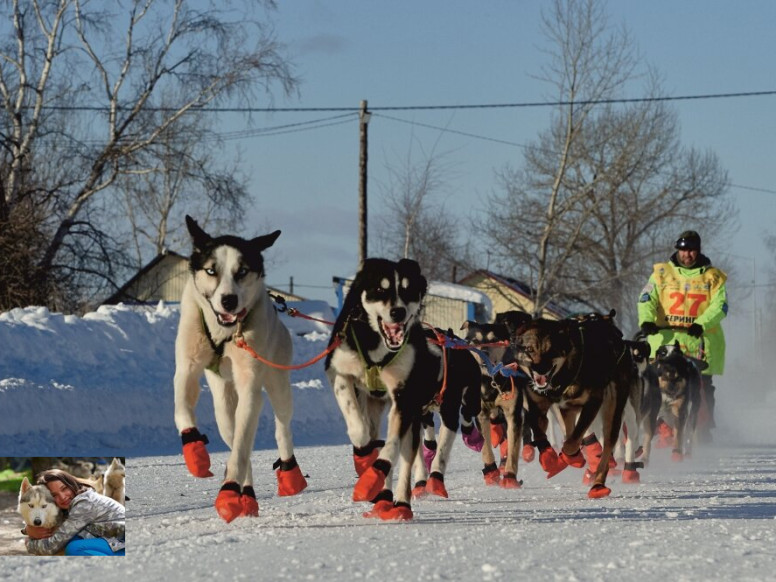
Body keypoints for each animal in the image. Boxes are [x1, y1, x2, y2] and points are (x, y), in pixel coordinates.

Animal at [174, 216, 308, 524]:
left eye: (242, 271)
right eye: (211, 270)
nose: (228, 300)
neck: (225, 333)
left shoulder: (250, 386)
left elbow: (242, 448)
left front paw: (228, 492)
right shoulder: (187, 368)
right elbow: (182, 409)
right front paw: (195, 453)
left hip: (278, 381)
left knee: (279, 427)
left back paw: (288, 475)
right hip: (223, 407)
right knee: (233, 433)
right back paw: (246, 495)